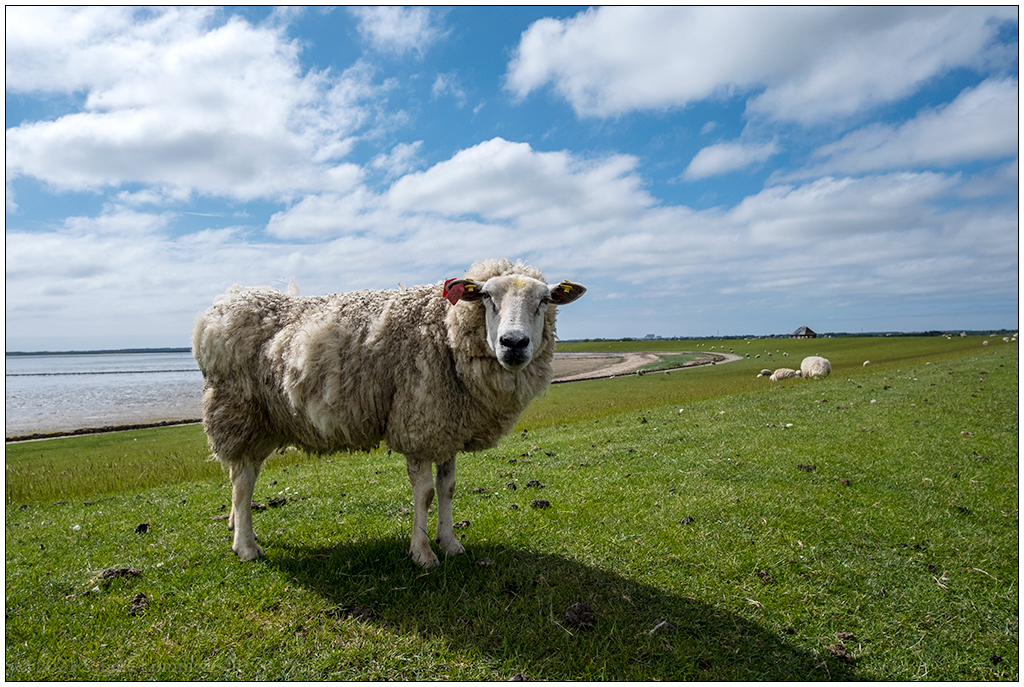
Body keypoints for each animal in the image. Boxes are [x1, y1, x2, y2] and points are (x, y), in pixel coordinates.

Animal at [191, 258, 586, 568]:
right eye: (487, 297)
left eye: (545, 300)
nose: (514, 344)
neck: (445, 330)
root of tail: (223, 304)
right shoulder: (417, 423)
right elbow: (424, 494)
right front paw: (423, 553)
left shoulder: (446, 427)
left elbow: (448, 488)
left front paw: (451, 543)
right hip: (239, 413)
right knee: (243, 480)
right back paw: (246, 546)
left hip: (263, 419)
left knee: (242, 475)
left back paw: (234, 524)